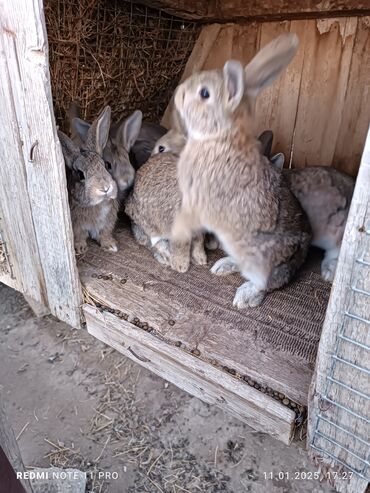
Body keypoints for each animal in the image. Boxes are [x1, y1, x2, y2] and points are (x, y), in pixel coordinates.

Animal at [58, 106, 118, 256]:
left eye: (106, 165)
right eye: (80, 175)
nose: (105, 188)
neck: (99, 204)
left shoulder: (107, 224)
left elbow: (104, 234)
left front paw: (110, 246)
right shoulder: (77, 226)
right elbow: (79, 236)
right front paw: (80, 248)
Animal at [171, 33, 312, 308]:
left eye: (204, 93)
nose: (178, 92)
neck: (217, 136)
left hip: (257, 255)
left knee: (266, 282)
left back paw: (244, 297)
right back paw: (222, 266)